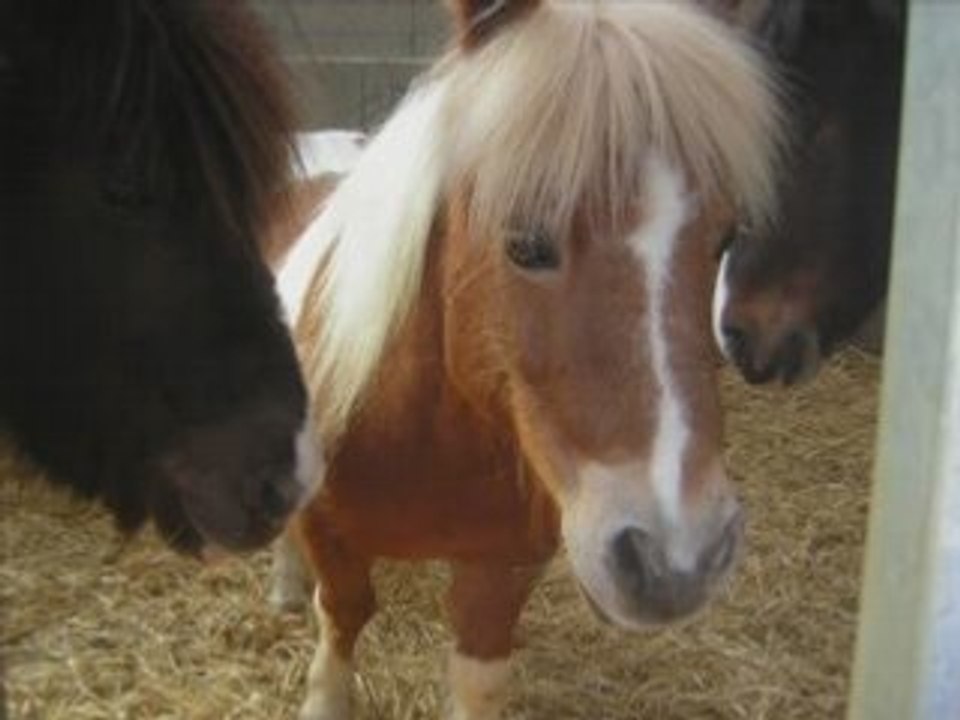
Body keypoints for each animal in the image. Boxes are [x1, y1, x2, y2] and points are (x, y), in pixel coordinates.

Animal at [271, 0, 786, 716]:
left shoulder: (505, 568)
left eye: (725, 238)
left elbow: (478, 670)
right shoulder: (331, 534)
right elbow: (343, 617)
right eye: (525, 243)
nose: (675, 562)